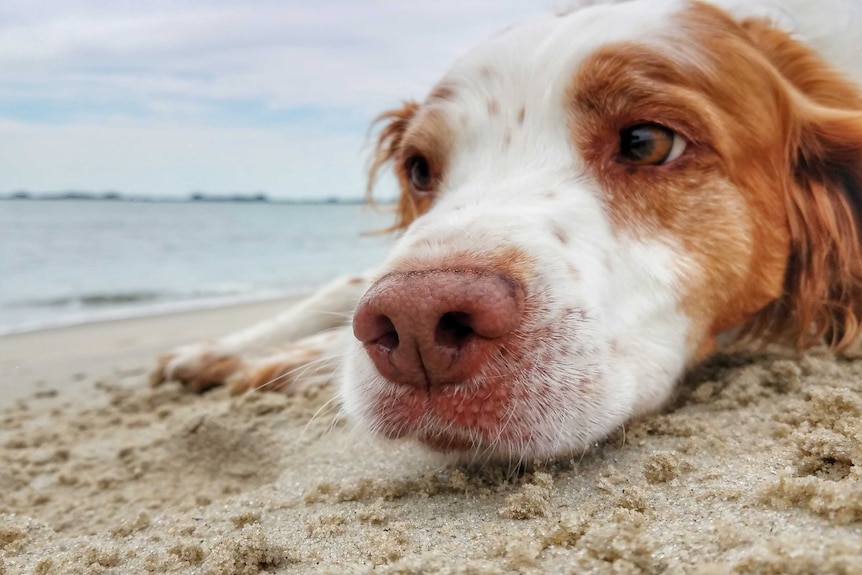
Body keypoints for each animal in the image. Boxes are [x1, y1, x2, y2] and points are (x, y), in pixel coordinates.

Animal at [150, 0, 862, 462]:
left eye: (647, 141)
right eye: (419, 168)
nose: (415, 325)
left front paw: (285, 362)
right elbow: (343, 284)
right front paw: (224, 349)